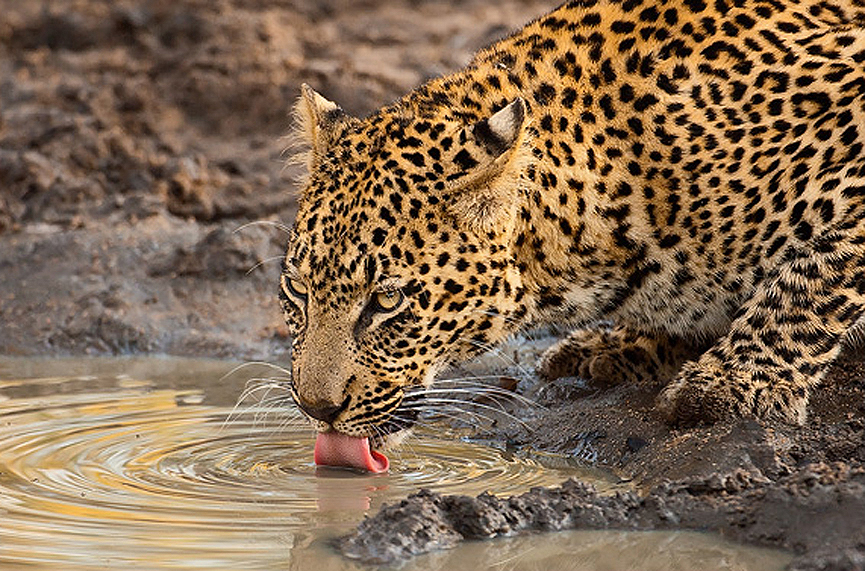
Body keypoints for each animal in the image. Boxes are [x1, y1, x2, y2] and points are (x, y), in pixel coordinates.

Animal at [279, 0, 865, 453]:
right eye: (297, 290)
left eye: (388, 301)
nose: (315, 408)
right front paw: (625, 345)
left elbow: (812, 278)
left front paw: (733, 382)